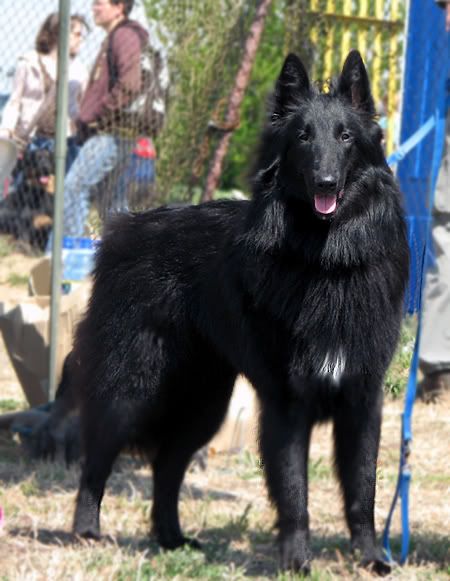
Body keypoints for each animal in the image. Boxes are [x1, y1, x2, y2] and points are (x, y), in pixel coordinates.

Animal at [67, 51, 409, 575]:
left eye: (346, 136)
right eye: (303, 136)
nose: (326, 183)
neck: (328, 262)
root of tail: (124, 227)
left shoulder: (362, 401)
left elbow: (363, 490)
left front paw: (370, 558)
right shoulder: (288, 404)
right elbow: (294, 492)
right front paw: (296, 562)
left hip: (204, 404)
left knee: (166, 467)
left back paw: (172, 539)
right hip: (131, 389)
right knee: (97, 460)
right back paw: (87, 531)